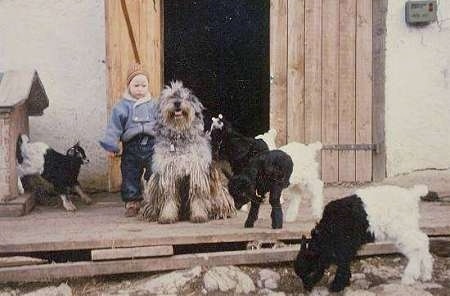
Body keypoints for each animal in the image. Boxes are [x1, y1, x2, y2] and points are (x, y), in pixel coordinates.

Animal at [142, 81, 236, 224]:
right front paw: (167, 216)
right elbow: (169, 198)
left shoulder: (196, 172)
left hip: (219, 191)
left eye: (184, 96)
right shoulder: (168, 172)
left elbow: (197, 197)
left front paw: (199, 216)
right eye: (170, 96)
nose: (177, 103)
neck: (179, 135)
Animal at [294, 185, 434, 292]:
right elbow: (345, 263)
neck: (328, 230)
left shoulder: (345, 246)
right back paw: (426, 275)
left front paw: (336, 287)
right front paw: (344, 282)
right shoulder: (347, 247)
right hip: (409, 227)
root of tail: (412, 195)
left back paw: (409, 278)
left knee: (416, 247)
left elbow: (343, 263)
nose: (307, 288)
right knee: (423, 241)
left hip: (402, 230)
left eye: (310, 271)